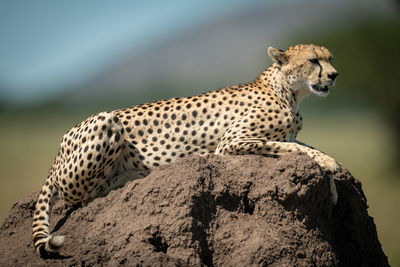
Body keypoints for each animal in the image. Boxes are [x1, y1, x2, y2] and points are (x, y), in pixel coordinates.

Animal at [32, 43, 340, 255]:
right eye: (313, 60)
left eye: (330, 59)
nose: (335, 75)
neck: (289, 92)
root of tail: (57, 151)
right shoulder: (231, 142)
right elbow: (291, 148)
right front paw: (328, 166)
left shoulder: (281, 136)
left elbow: (305, 146)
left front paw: (333, 178)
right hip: (105, 122)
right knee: (82, 198)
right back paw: (132, 176)